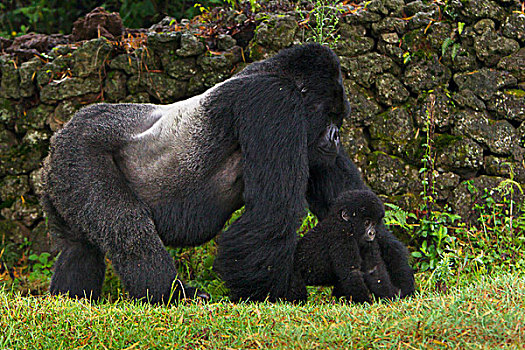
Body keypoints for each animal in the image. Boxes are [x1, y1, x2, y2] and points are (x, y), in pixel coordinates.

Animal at [42, 43, 414, 304]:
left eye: (340, 118)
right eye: (330, 116)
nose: (336, 138)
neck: (275, 74)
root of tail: (57, 137)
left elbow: (351, 209)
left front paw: (397, 278)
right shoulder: (275, 104)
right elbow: (271, 216)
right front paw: (276, 294)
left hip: (62, 174)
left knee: (78, 248)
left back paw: (72, 298)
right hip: (81, 150)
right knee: (128, 229)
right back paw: (170, 295)